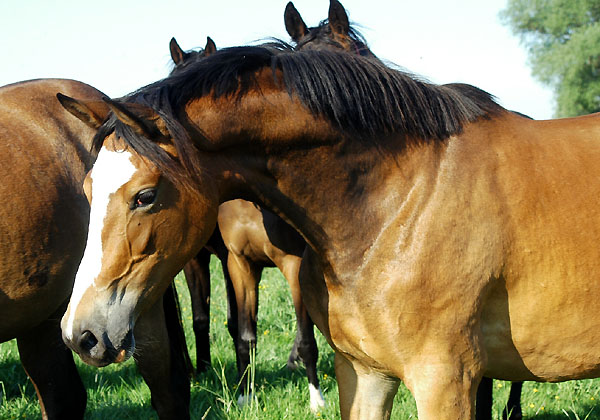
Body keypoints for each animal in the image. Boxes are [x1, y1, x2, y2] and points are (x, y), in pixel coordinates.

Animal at [58, 27, 580, 420]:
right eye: (87, 192)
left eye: (144, 196)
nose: (81, 334)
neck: (401, 200)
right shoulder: (362, 369)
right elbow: (243, 330)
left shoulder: (445, 378)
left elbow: (304, 342)